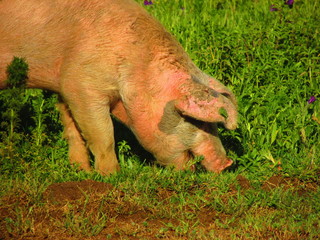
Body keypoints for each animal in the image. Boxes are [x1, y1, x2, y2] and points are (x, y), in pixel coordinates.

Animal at [0, 0, 235, 174]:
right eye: (194, 121)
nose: (227, 164)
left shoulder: (66, 87)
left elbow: (73, 130)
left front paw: (82, 172)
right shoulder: (82, 84)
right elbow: (103, 135)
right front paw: (111, 176)